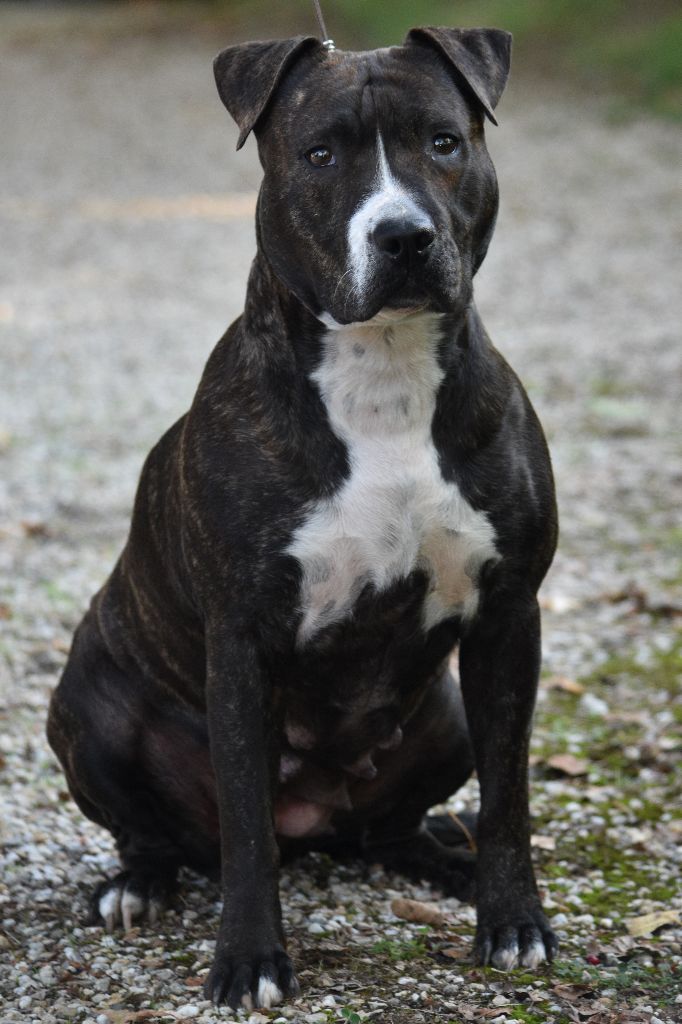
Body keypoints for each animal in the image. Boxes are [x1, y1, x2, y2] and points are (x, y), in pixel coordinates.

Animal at [47, 26, 559, 1010]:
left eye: (443, 141)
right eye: (321, 154)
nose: (403, 235)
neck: (382, 373)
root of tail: (319, 823)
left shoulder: (510, 616)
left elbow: (509, 796)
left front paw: (513, 921)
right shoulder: (244, 641)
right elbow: (247, 830)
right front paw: (248, 960)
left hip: (443, 717)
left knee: (393, 829)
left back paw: (447, 862)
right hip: (85, 711)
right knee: (166, 835)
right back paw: (138, 885)